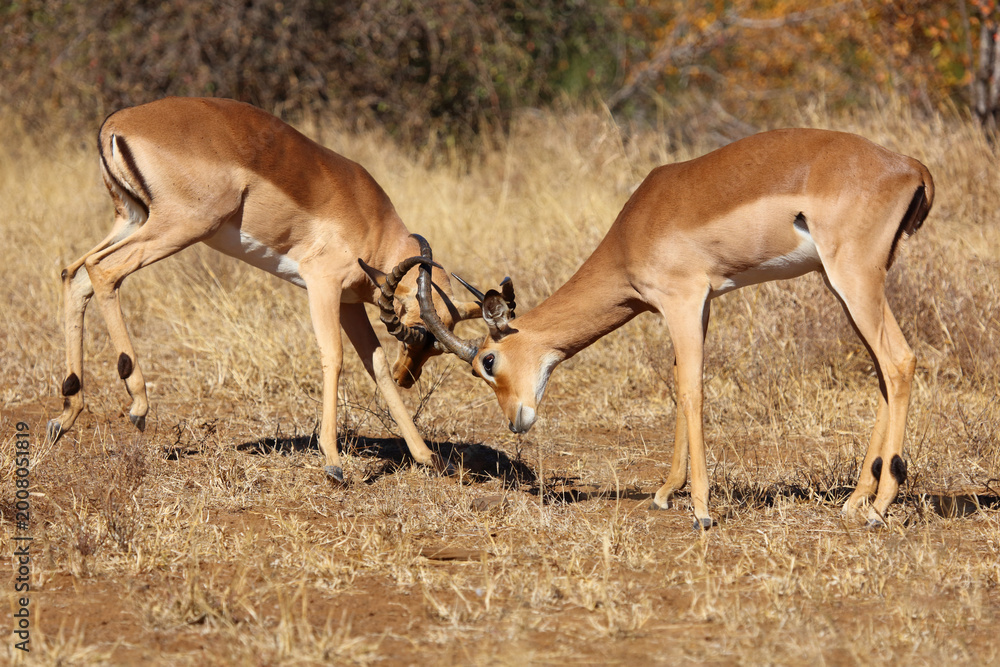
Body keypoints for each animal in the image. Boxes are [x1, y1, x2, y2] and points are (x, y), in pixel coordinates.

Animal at [46, 97, 480, 482]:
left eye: (435, 345)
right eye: (416, 331)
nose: (409, 376)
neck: (371, 221)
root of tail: (116, 123)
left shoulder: (349, 303)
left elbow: (376, 370)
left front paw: (428, 458)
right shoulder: (322, 285)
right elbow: (334, 357)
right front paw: (333, 463)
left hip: (133, 219)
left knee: (75, 273)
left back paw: (66, 414)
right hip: (178, 227)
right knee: (103, 271)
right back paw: (137, 402)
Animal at [417, 129, 933, 528]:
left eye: (488, 362)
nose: (515, 421)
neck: (633, 231)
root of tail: (910, 166)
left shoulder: (681, 301)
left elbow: (691, 389)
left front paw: (702, 511)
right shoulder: (698, 306)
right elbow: (679, 382)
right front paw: (666, 493)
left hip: (854, 279)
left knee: (899, 361)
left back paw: (879, 509)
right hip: (841, 284)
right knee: (883, 373)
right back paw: (855, 501)